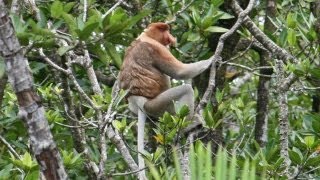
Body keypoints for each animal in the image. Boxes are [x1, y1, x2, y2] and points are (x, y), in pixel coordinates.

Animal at [119, 21, 211, 178]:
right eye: (165, 30)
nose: (172, 38)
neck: (145, 36)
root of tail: (137, 100)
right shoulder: (157, 48)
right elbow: (181, 71)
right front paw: (213, 58)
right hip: (158, 104)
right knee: (185, 90)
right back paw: (190, 125)